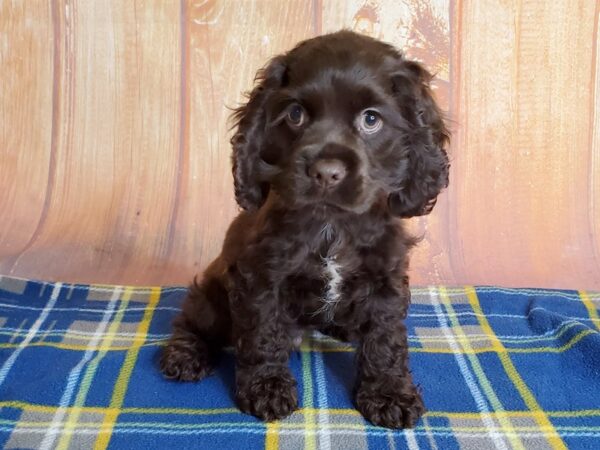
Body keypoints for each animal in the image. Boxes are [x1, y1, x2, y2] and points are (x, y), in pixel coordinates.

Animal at [159, 29, 450, 428]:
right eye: (295, 114)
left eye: (371, 120)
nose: (326, 172)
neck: (331, 225)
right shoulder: (261, 277)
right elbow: (262, 334)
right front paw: (266, 389)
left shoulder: (385, 278)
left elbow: (385, 339)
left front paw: (389, 394)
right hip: (213, 295)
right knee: (193, 320)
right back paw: (186, 355)